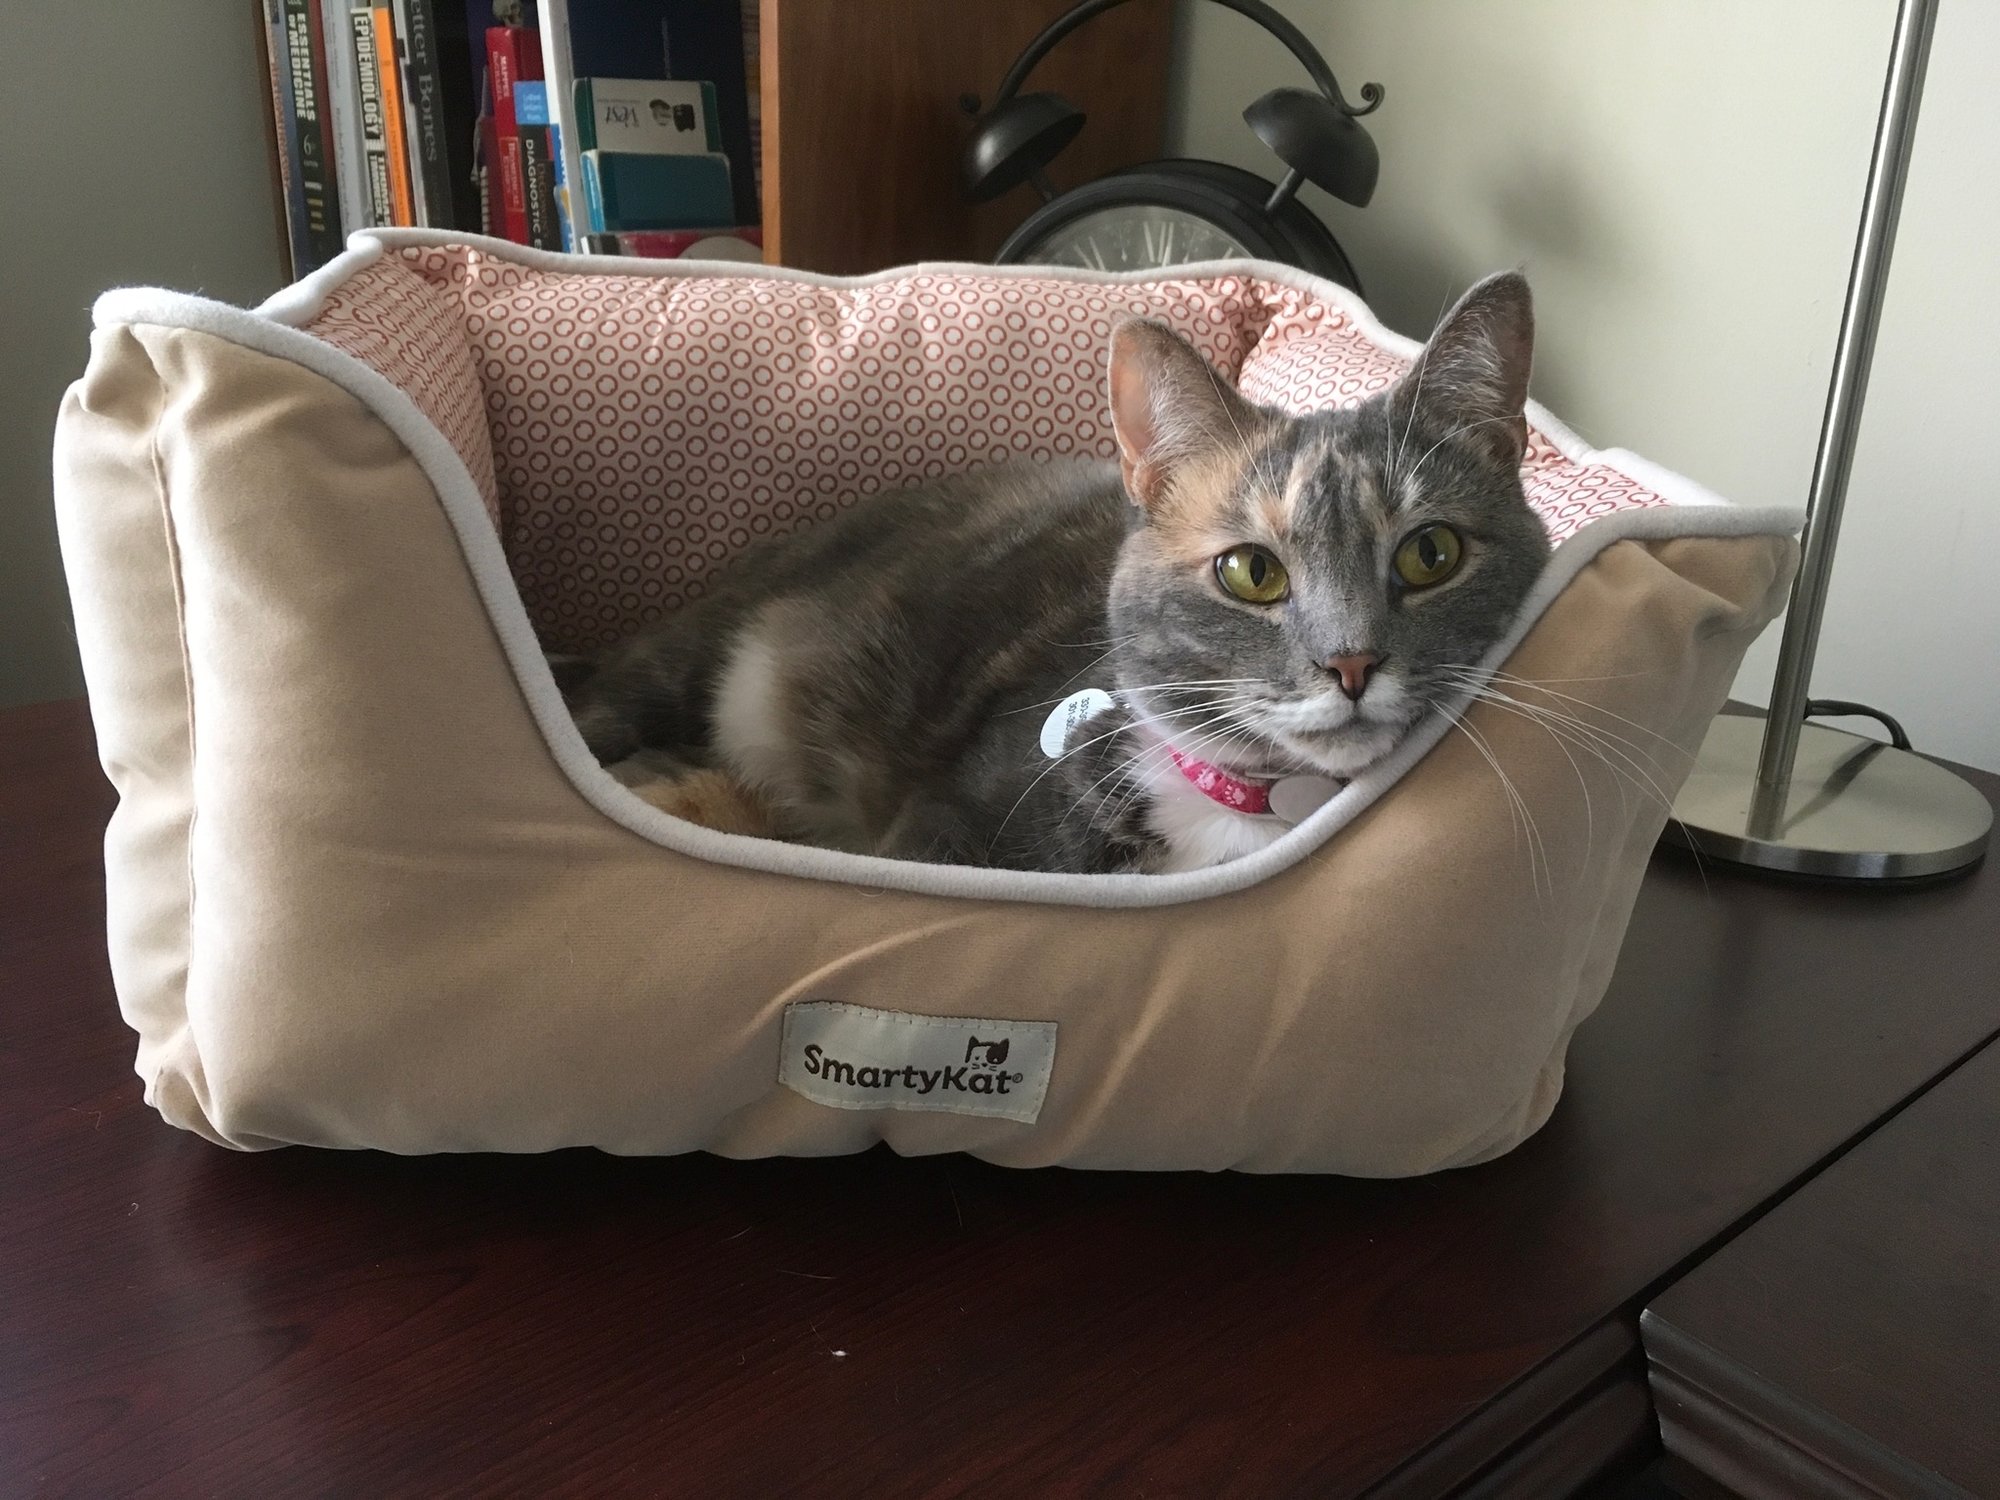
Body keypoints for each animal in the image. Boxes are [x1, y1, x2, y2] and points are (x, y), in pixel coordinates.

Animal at [560, 271, 1553, 874]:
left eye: (1430, 553)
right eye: (1251, 572)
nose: (1350, 663)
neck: (1251, 810)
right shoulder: (945, 825)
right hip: (700, 656)